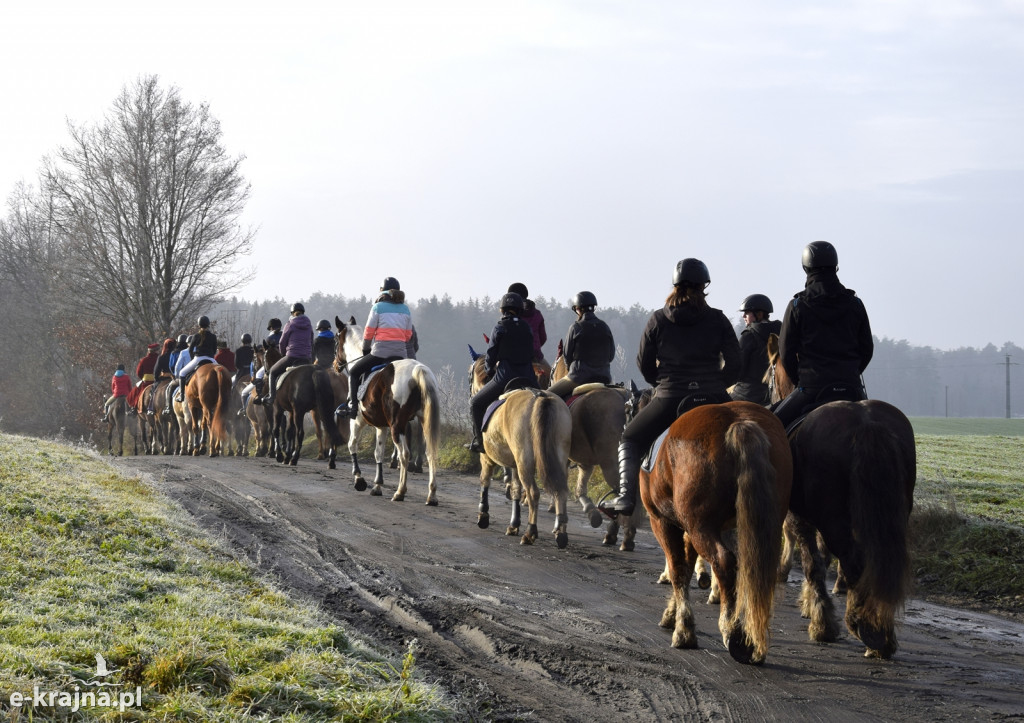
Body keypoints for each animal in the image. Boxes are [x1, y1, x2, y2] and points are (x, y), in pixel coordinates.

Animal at [468, 354, 573, 544]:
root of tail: (540, 397)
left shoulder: (487, 457)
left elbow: (485, 480)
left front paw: (483, 515)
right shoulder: (514, 463)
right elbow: (516, 489)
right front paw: (513, 524)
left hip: (525, 461)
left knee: (533, 492)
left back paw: (530, 532)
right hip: (557, 458)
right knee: (561, 491)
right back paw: (561, 533)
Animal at [548, 354, 634, 544]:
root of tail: (623, 400)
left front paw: (560, 527)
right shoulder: (584, 462)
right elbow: (580, 488)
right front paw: (591, 511)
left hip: (610, 465)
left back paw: (615, 533)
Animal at [643, 399, 794, 663]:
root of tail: (739, 422)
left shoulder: (662, 522)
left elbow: (678, 570)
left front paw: (684, 631)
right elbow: (687, 566)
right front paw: (673, 615)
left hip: (699, 527)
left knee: (724, 562)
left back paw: (732, 631)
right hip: (761, 524)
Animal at [765, 333, 917, 659]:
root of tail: (867, 423)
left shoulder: (800, 517)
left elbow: (813, 563)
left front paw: (822, 622)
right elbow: (820, 559)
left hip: (834, 518)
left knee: (854, 560)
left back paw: (866, 627)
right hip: (891, 514)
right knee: (879, 562)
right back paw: (881, 629)